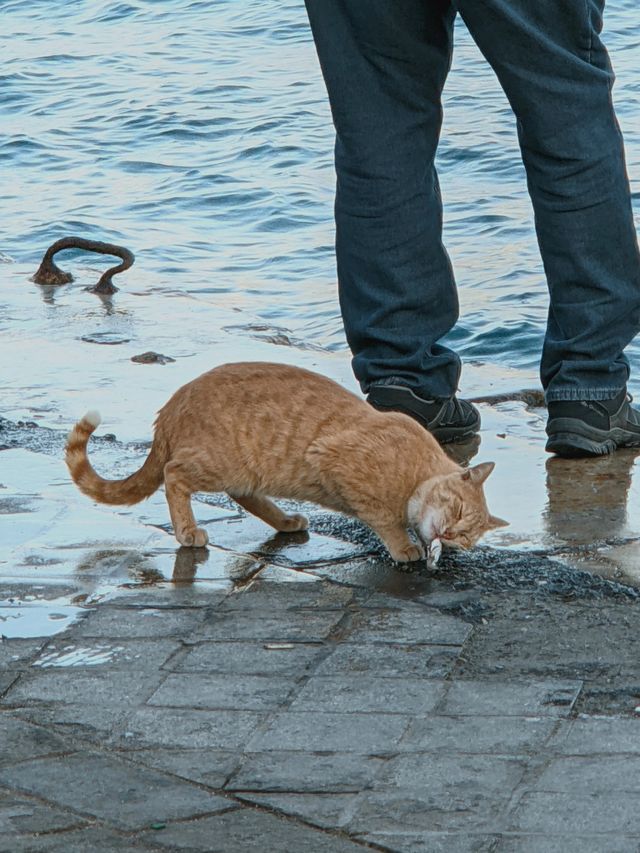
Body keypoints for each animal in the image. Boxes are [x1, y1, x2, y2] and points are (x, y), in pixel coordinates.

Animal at [63, 362, 504, 564]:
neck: (416, 473)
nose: (447, 536)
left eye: (466, 537)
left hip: (248, 471)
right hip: (221, 462)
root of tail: (174, 403)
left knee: (244, 496)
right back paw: (188, 531)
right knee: (174, 476)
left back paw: (286, 520)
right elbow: (385, 519)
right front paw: (404, 546)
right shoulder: (335, 459)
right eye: (457, 510)